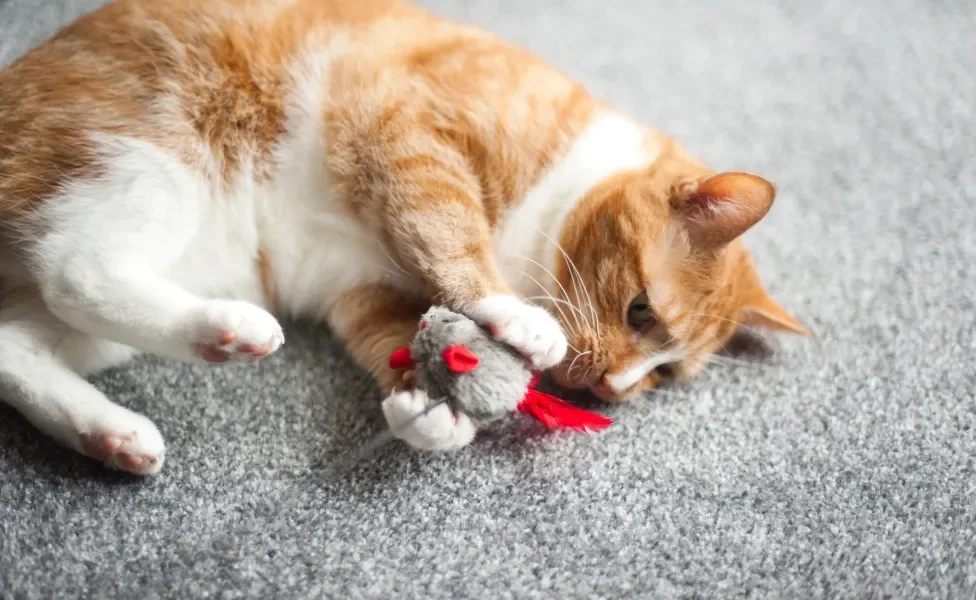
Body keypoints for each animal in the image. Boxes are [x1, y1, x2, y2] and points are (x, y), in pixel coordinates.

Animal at [0, 1, 808, 478]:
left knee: (18, 348)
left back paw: (113, 433)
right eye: (641, 311)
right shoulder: (409, 134)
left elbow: (393, 337)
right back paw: (231, 333)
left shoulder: (361, 287)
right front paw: (514, 318)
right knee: (74, 269)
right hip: (152, 159)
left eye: (662, 377)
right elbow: (451, 235)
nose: (613, 388)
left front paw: (426, 412)